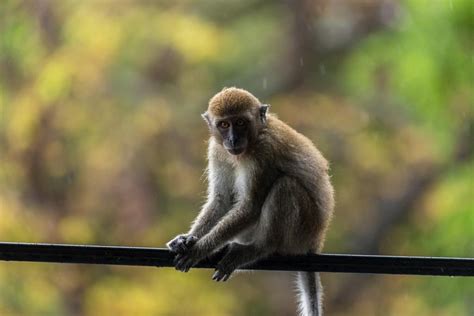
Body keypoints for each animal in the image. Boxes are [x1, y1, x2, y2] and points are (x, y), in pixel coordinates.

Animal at [167, 87, 334, 316]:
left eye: (240, 122)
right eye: (224, 125)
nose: (233, 140)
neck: (256, 136)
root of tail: (316, 240)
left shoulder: (263, 152)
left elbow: (250, 206)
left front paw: (199, 249)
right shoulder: (217, 149)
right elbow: (222, 200)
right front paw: (188, 239)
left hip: (301, 231)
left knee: (285, 185)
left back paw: (259, 248)